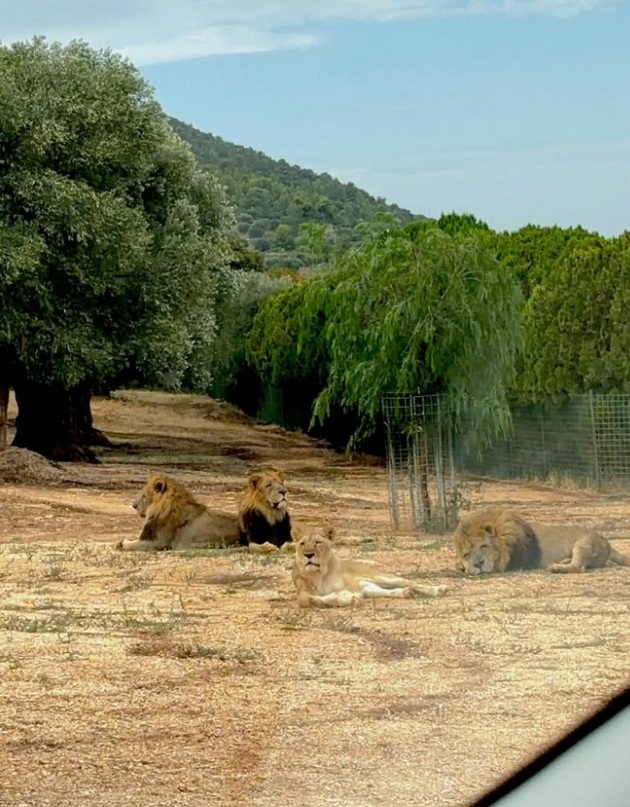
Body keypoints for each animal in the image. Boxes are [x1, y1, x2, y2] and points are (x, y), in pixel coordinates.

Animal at [292, 528, 450, 608]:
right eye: (302, 543)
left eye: (317, 542)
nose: (308, 555)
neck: (318, 574)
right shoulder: (301, 592)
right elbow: (305, 600)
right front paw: (348, 599)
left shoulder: (352, 588)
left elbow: (341, 594)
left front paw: (347, 597)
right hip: (368, 587)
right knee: (386, 591)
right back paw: (405, 593)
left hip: (382, 577)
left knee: (412, 583)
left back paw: (439, 589)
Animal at [454, 504, 630, 576]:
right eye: (466, 554)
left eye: (484, 546)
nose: (478, 564)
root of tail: (606, 541)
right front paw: (462, 566)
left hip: (583, 543)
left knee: (579, 567)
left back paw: (556, 567)